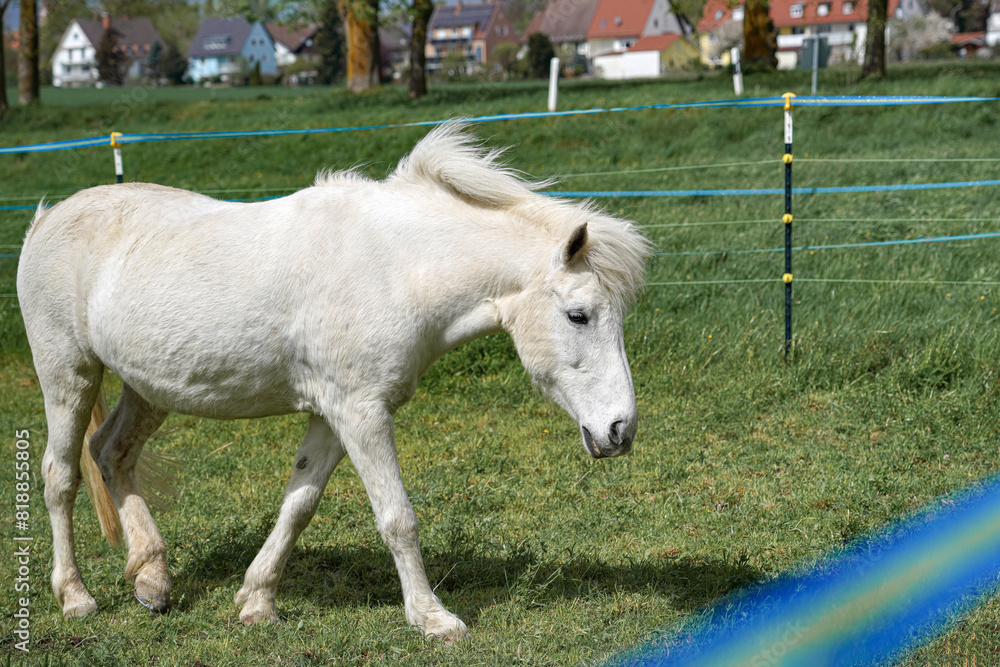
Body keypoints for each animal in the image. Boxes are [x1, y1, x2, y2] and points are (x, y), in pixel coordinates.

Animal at [17, 123, 650, 642]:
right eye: (579, 316)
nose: (620, 430)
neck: (395, 267)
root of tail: (44, 219)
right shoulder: (361, 412)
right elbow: (397, 517)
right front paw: (433, 619)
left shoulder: (332, 414)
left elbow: (298, 505)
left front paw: (257, 602)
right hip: (68, 374)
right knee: (60, 476)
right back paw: (75, 597)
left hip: (149, 389)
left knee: (112, 453)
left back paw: (152, 579)